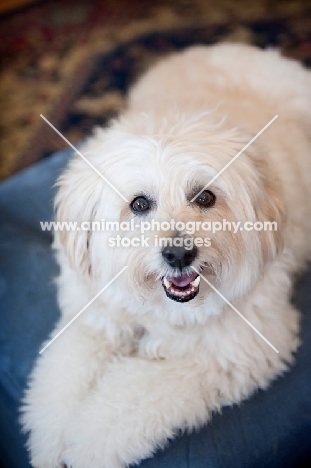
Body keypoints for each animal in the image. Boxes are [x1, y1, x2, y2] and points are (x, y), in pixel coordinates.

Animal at [20, 44, 311, 468]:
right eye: (140, 204)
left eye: (205, 197)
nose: (179, 254)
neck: (157, 312)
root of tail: (238, 48)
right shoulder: (93, 321)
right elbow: (61, 384)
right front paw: (51, 441)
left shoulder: (232, 351)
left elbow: (129, 400)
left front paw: (86, 445)